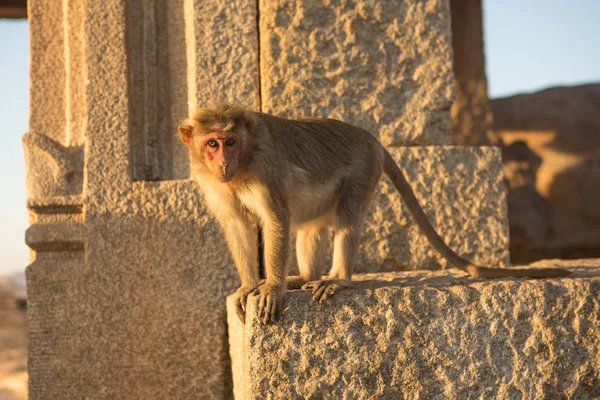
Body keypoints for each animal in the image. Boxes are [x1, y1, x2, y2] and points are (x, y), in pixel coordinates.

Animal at [176, 102, 568, 324]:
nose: (223, 163)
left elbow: (275, 220)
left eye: (231, 142)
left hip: (364, 169)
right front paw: (248, 286)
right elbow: (237, 226)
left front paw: (271, 288)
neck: (241, 167)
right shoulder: (212, 182)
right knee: (311, 226)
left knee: (346, 219)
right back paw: (305, 277)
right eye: (212, 144)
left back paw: (338, 277)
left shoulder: (264, 167)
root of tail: (373, 139)